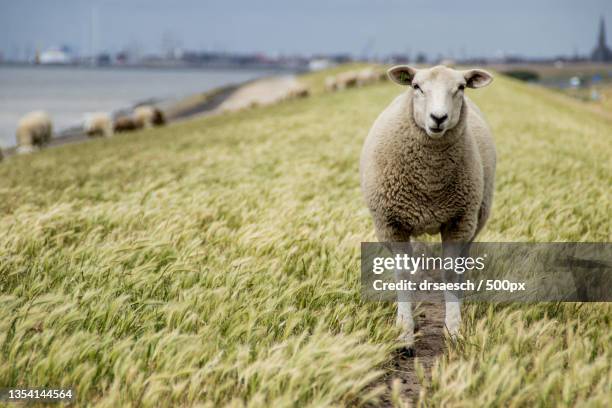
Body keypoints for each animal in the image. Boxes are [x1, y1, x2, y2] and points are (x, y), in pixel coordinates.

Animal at [360, 63, 494, 354]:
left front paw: (454, 330)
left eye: (461, 87)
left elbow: (451, 273)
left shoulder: (459, 221)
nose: (438, 118)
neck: (429, 182)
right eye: (416, 86)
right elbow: (403, 274)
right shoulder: (391, 225)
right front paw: (404, 334)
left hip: (474, 220)